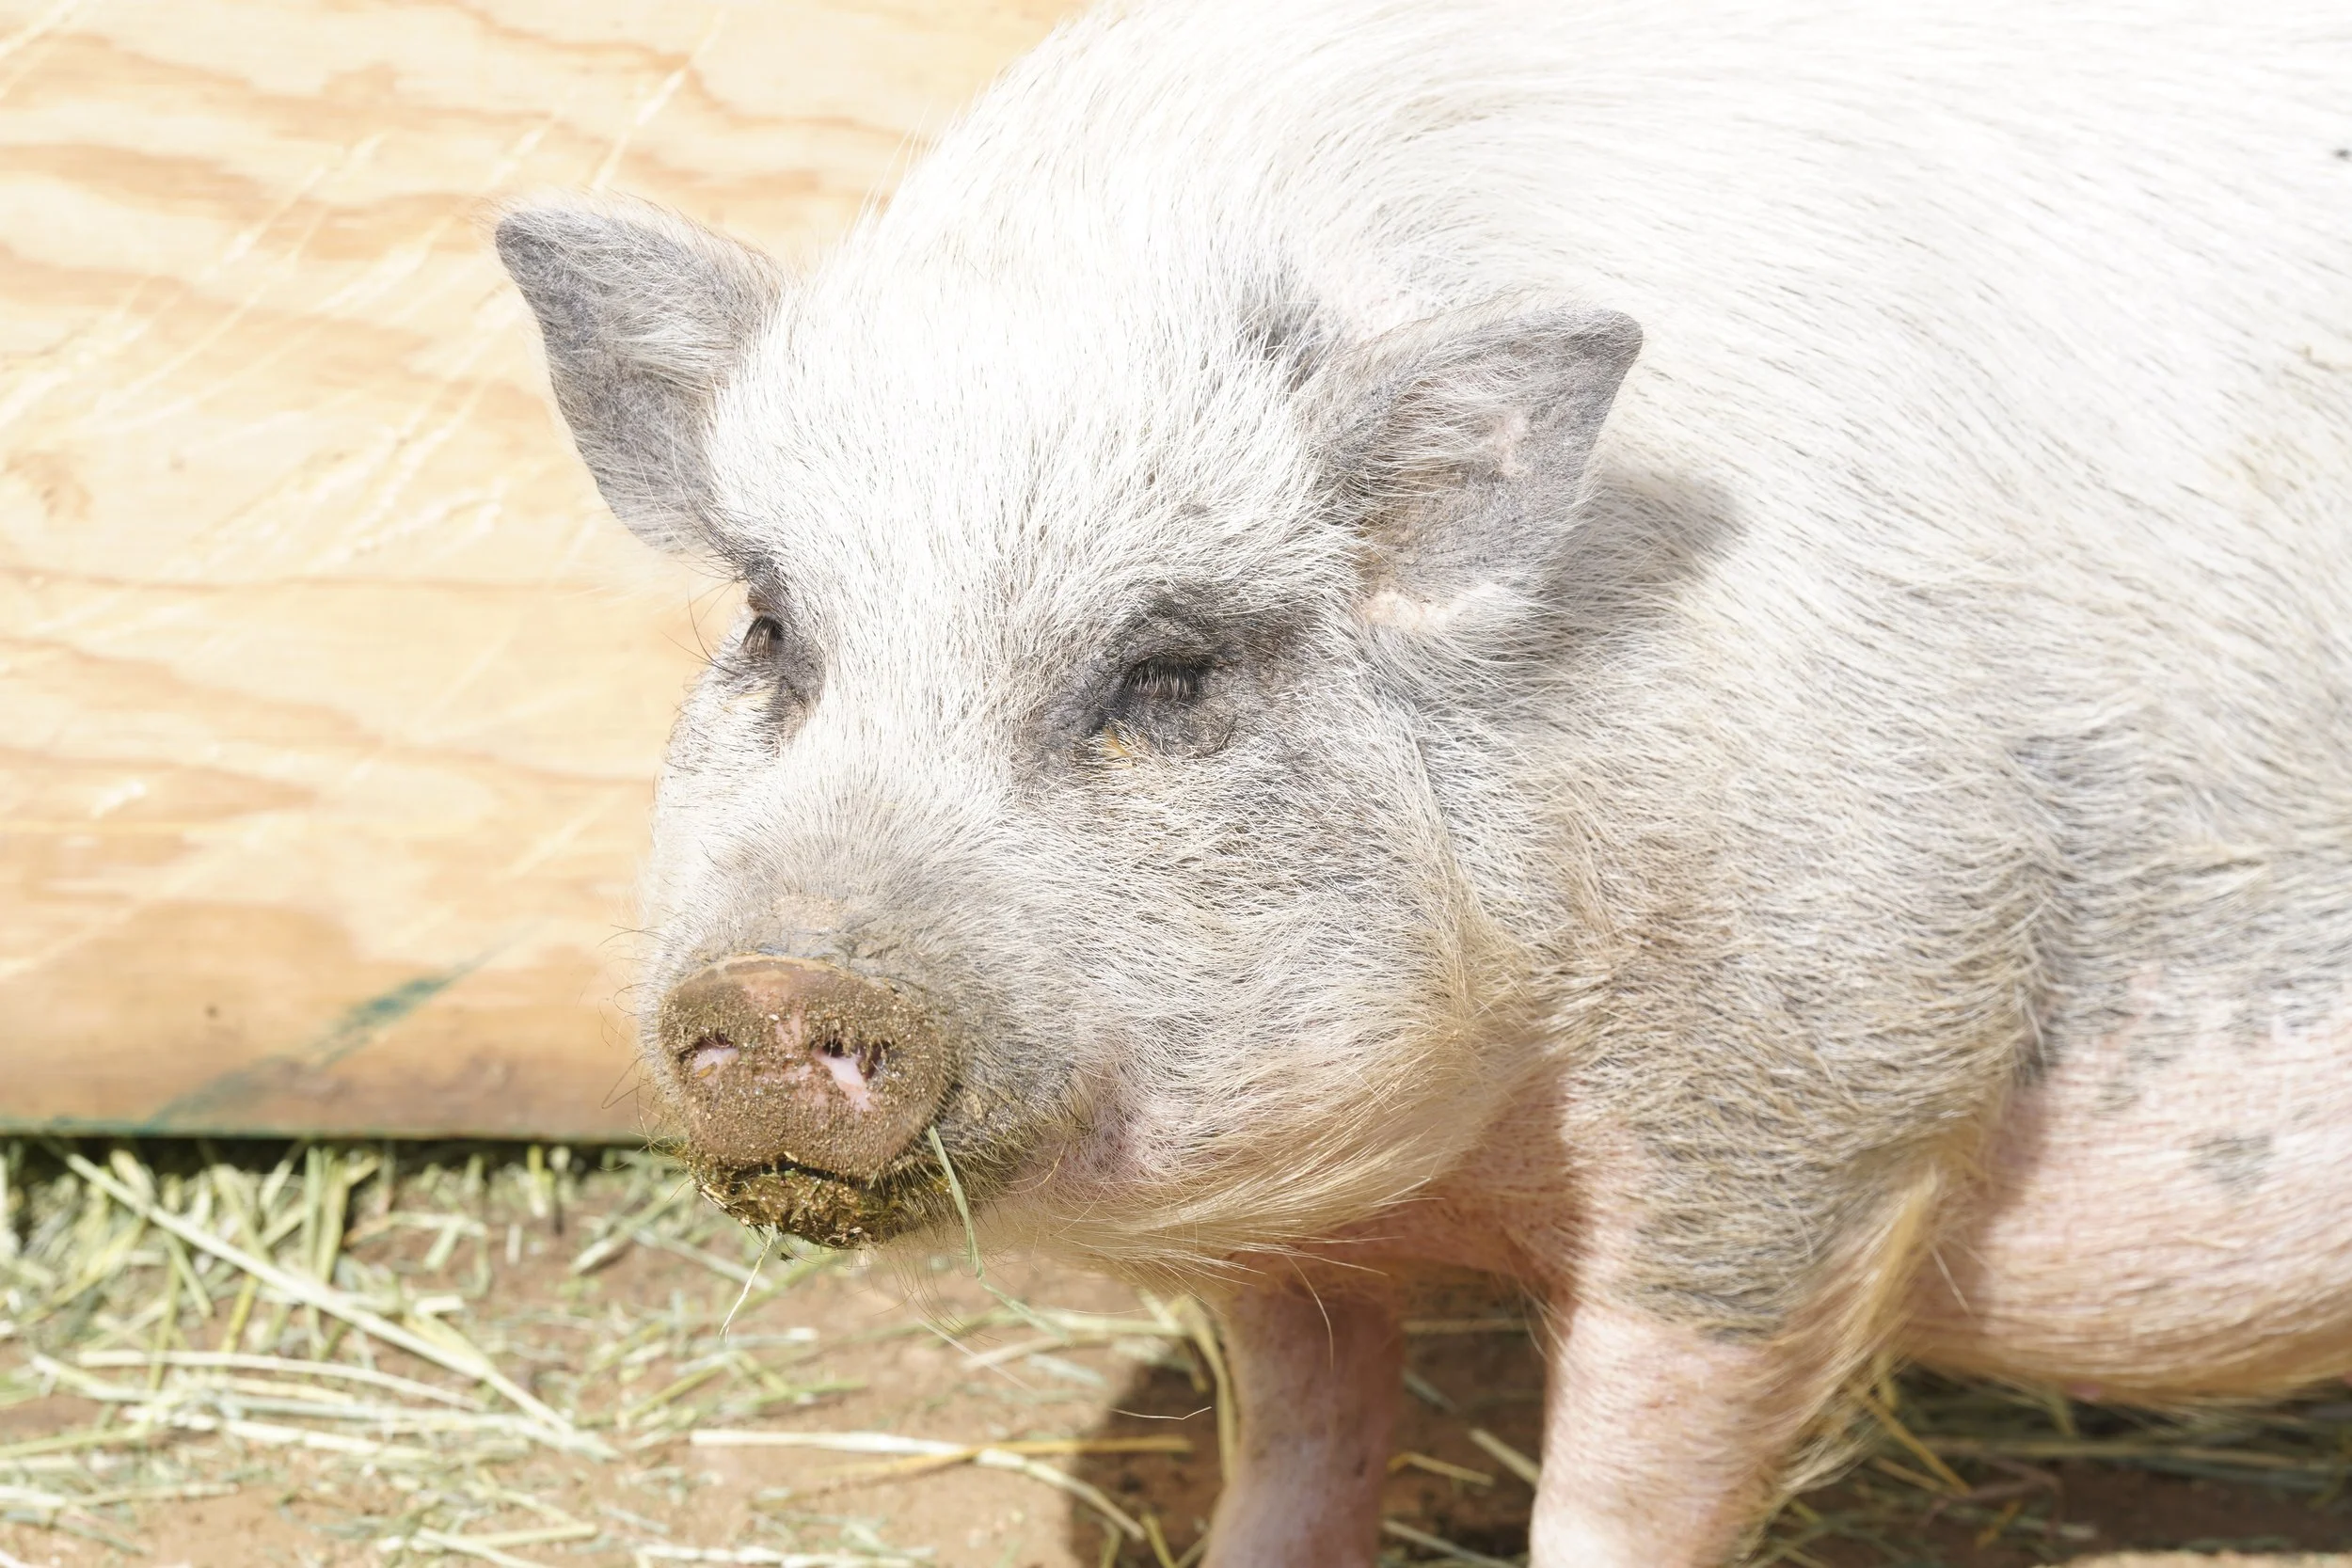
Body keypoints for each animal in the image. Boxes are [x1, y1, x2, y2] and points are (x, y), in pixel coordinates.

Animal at [493, 0, 2352, 1562]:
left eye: (1168, 669)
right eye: (769, 623)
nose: (784, 983)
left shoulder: (1832, 1068)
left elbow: (1625, 1479)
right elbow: (1298, 1439)